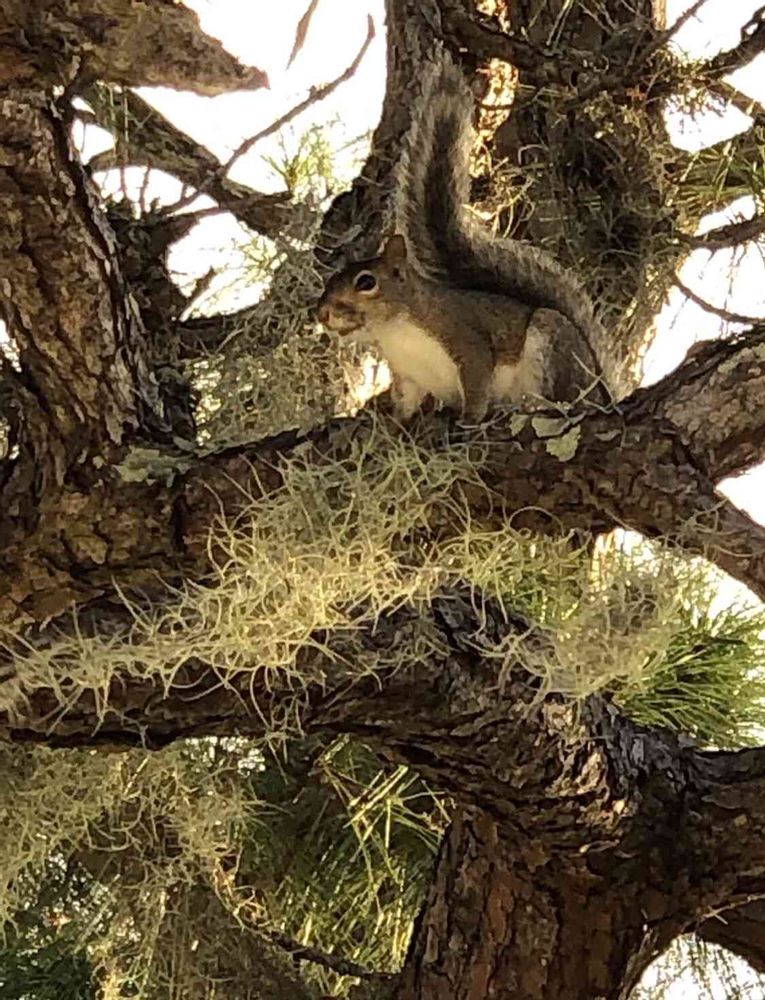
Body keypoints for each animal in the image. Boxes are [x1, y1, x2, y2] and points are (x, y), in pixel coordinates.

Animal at [317, 51, 620, 422]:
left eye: (365, 282)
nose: (323, 314)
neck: (395, 331)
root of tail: (602, 392)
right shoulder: (408, 377)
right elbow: (406, 403)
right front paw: (394, 421)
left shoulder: (467, 340)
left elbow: (476, 384)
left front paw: (470, 419)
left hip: (551, 346)